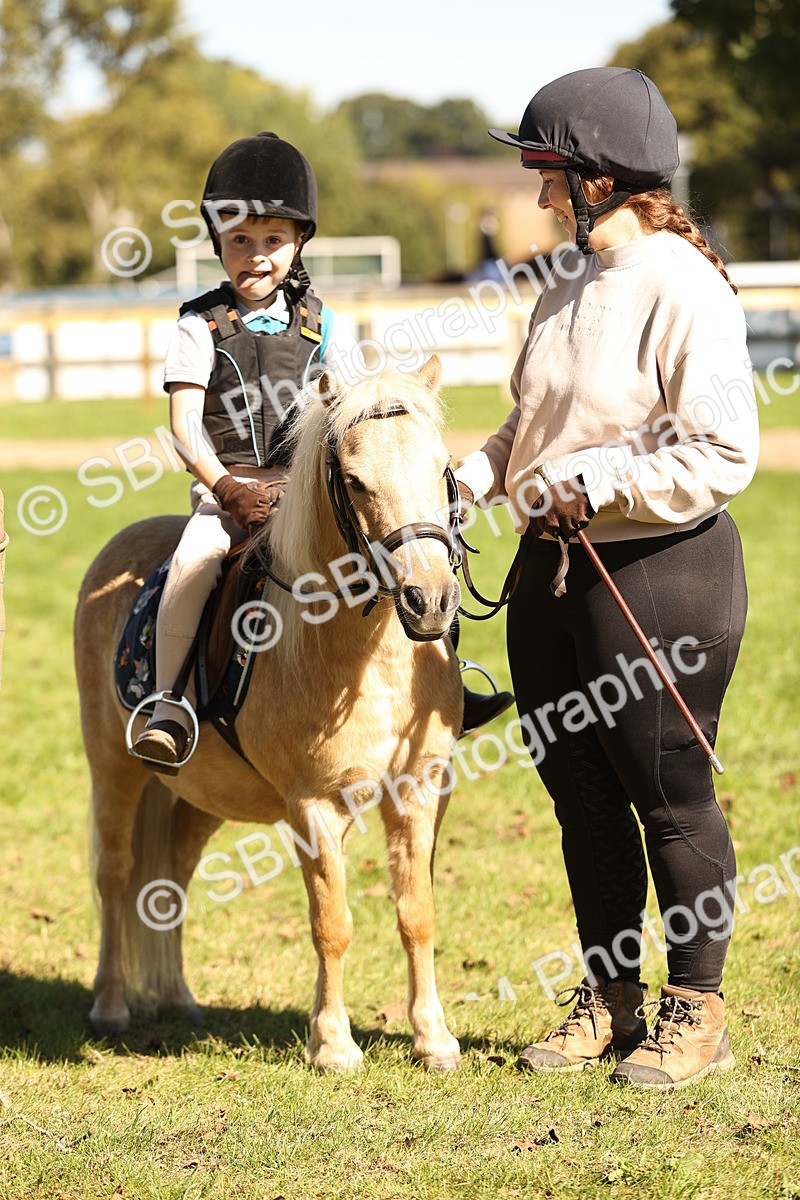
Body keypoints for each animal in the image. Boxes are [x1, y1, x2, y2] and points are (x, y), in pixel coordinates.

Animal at [74, 354, 465, 1072]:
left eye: (440, 467)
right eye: (356, 481)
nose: (430, 600)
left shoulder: (417, 790)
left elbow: (416, 913)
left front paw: (434, 1039)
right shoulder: (313, 806)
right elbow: (332, 925)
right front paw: (333, 1044)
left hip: (201, 795)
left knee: (170, 877)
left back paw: (177, 1000)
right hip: (114, 767)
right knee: (114, 876)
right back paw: (111, 1006)